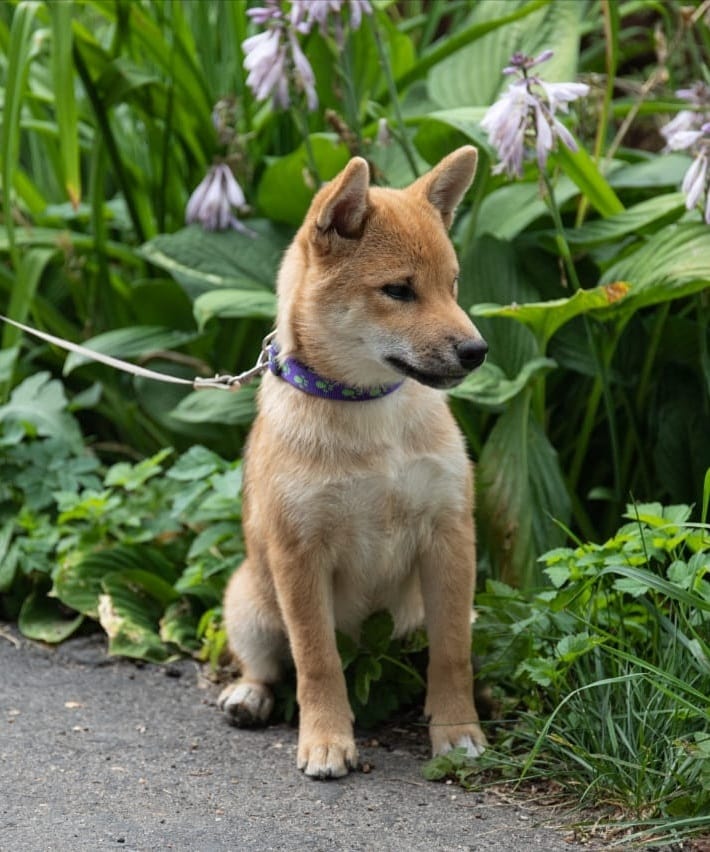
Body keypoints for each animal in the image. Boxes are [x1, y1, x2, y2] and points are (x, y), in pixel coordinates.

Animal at [220, 148, 492, 780]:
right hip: (249, 601)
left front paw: (457, 732)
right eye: (398, 290)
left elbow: (452, 657)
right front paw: (325, 741)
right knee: (268, 664)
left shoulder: (449, 537)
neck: (371, 415)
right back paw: (248, 695)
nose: (477, 351)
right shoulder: (298, 553)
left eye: (452, 285)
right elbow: (316, 660)